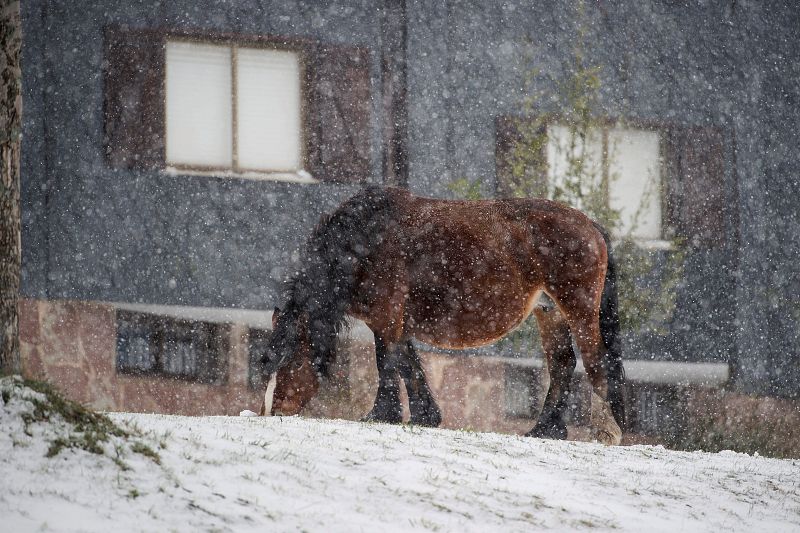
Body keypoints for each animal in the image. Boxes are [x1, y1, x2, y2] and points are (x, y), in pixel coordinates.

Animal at [260, 186, 625, 445]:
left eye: (290, 358)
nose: (272, 412)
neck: (365, 242)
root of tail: (591, 225)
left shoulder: (386, 318)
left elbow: (388, 363)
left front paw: (383, 413)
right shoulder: (396, 322)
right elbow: (408, 364)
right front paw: (425, 415)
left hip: (579, 310)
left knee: (596, 362)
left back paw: (606, 432)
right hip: (550, 314)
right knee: (562, 364)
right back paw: (545, 430)